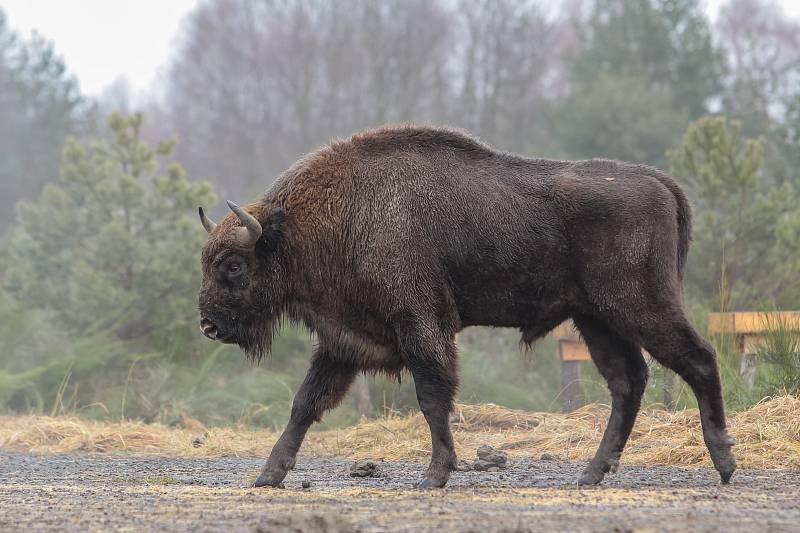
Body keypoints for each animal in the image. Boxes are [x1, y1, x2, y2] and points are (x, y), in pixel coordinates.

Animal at [197, 123, 736, 486]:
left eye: (233, 265)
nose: (208, 325)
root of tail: (660, 183)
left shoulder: (420, 325)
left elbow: (432, 396)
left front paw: (435, 474)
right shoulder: (343, 341)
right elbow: (305, 403)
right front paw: (268, 475)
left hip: (638, 305)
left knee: (698, 359)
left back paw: (725, 464)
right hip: (596, 319)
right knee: (629, 382)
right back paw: (591, 474)